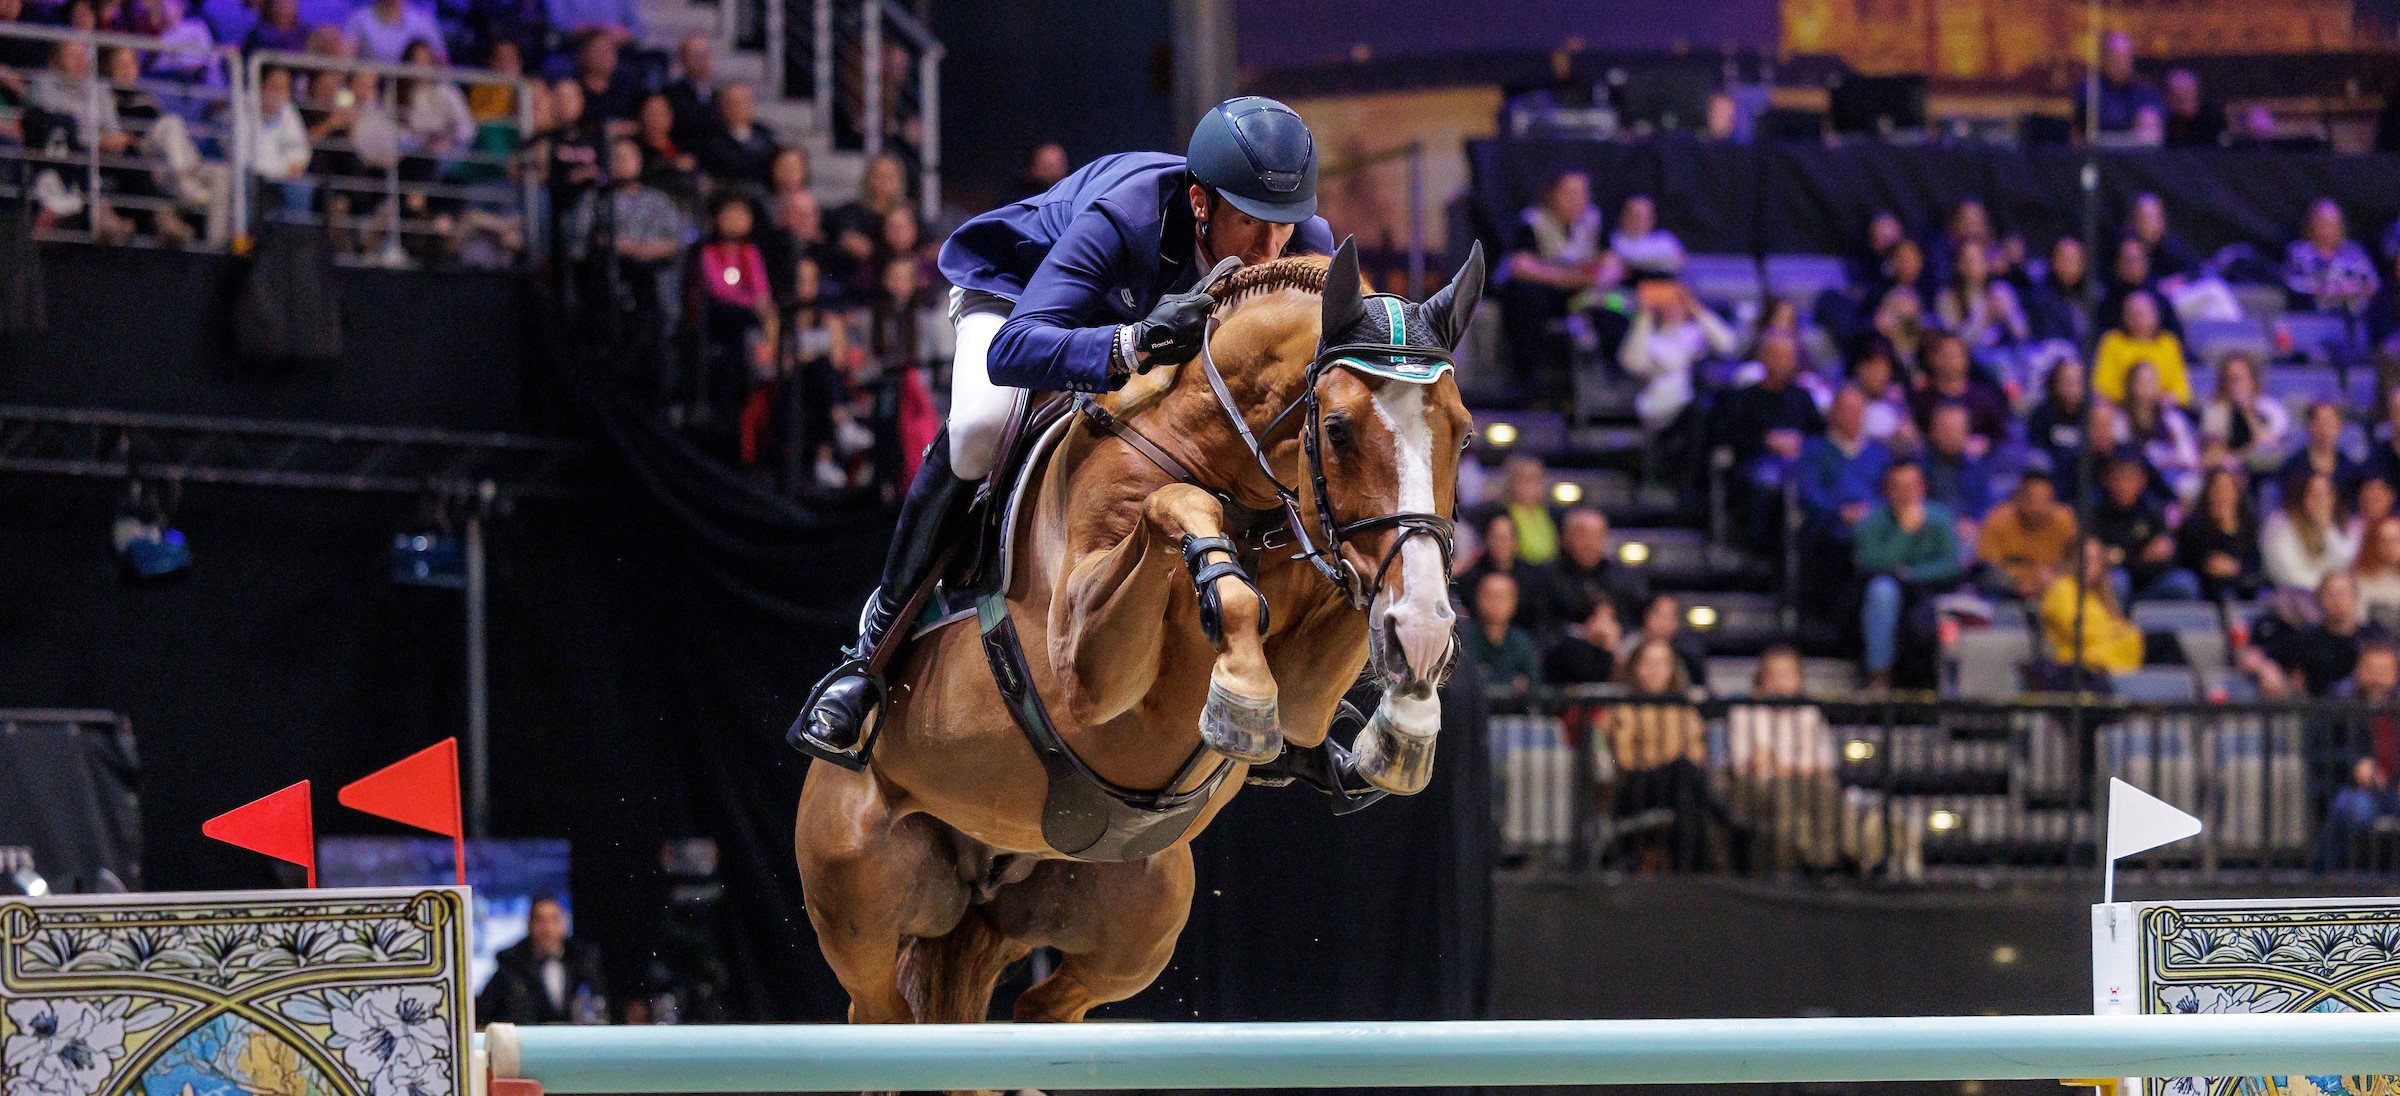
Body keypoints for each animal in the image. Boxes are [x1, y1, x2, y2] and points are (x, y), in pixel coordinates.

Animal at [796, 239, 1478, 1036]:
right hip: (856, 894)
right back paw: (845, 699)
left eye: (1464, 431)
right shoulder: (1080, 669)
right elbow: (1174, 504)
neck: (1240, 486)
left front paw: (1406, 715)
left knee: (1043, 1008)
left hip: (1139, 913)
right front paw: (1241, 697)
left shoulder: (1308, 688)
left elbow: (1336, 638)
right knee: (880, 1008)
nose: (1425, 632)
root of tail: (990, 861)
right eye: (1335, 429)